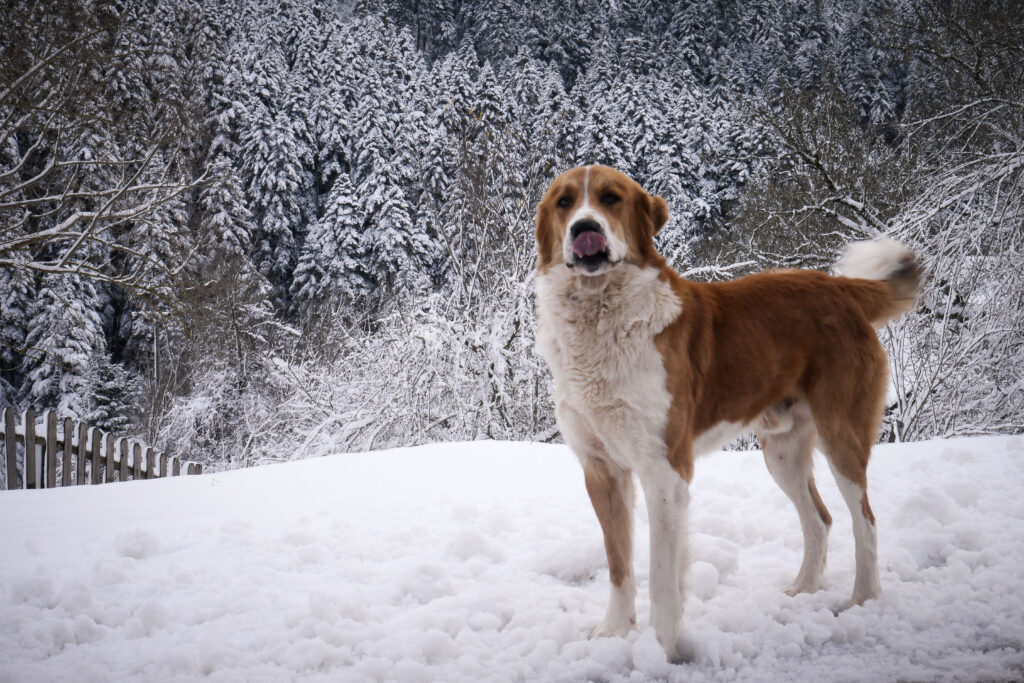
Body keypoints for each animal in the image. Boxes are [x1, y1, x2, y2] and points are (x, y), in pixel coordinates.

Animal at [536, 162, 921, 659]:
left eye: (610, 199)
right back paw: (804, 589)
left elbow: (661, 578)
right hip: (781, 451)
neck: (601, 317)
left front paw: (660, 651)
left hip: (841, 436)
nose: (585, 229)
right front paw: (614, 634)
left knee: (865, 520)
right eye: (565, 203)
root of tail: (839, 287)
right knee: (819, 518)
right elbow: (619, 564)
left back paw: (863, 599)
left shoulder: (664, 471)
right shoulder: (601, 470)